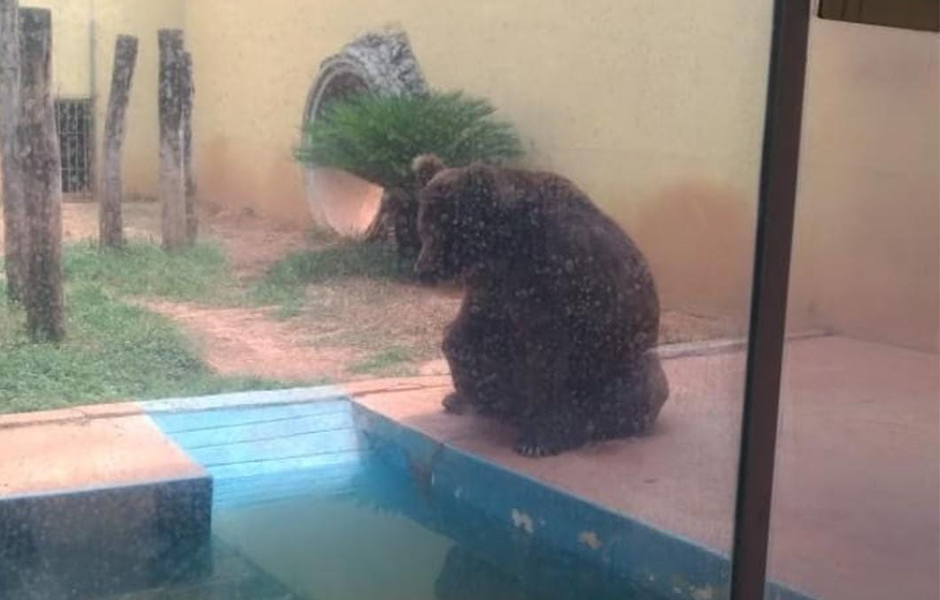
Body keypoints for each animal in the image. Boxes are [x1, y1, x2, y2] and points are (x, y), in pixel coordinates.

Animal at [414, 156, 668, 460]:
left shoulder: (558, 274)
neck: (506, 244)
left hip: (624, 364)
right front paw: (467, 384)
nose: (422, 270)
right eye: (424, 223)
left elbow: (547, 358)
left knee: (628, 392)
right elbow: (469, 333)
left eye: (444, 225)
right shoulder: (491, 288)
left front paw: (539, 438)